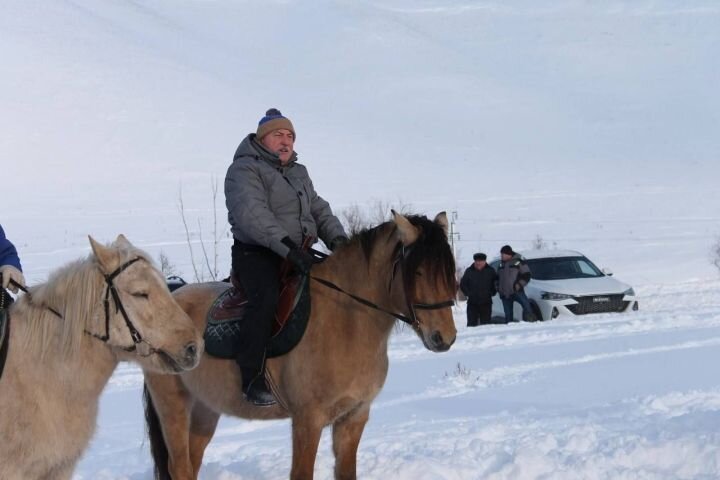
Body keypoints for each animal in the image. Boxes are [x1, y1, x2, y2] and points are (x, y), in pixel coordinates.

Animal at [144, 212, 458, 478]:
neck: (346, 324)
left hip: (206, 408)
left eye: (449, 271)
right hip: (173, 406)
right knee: (179, 467)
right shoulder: (308, 420)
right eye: (418, 273)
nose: (444, 337)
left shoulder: (354, 417)